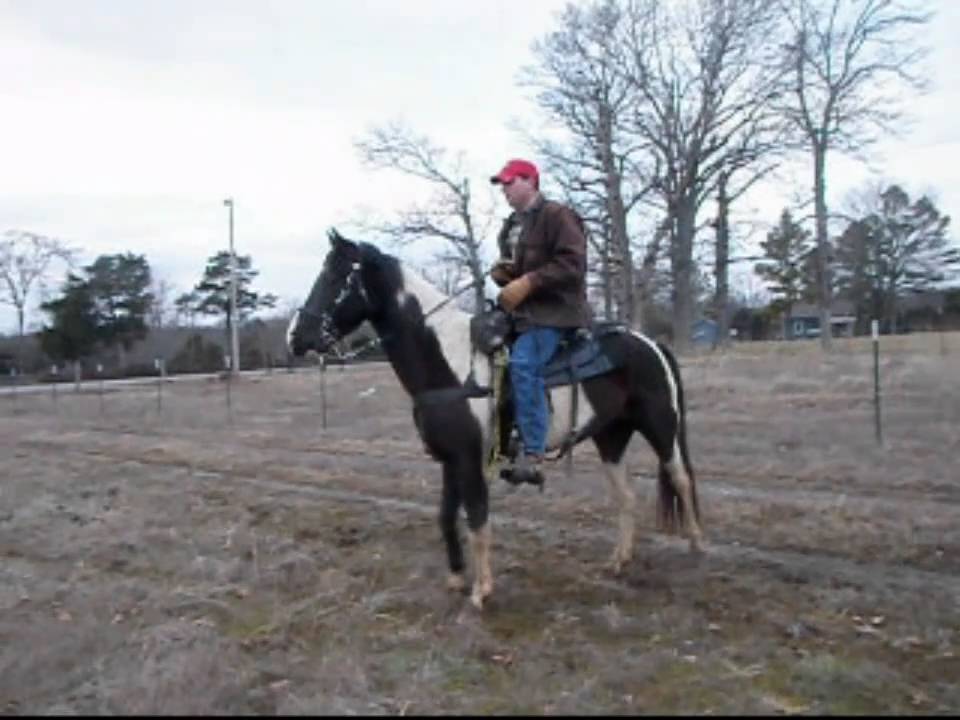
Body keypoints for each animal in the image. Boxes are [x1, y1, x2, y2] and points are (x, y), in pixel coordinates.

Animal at [287, 229, 703, 609]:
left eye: (335, 277)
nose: (295, 337)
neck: (452, 366)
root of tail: (650, 343)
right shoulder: (449, 460)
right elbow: (445, 517)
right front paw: (456, 578)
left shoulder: (471, 461)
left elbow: (477, 520)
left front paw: (481, 590)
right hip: (610, 436)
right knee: (626, 497)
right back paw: (619, 560)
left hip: (661, 427)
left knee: (681, 479)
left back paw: (696, 545)